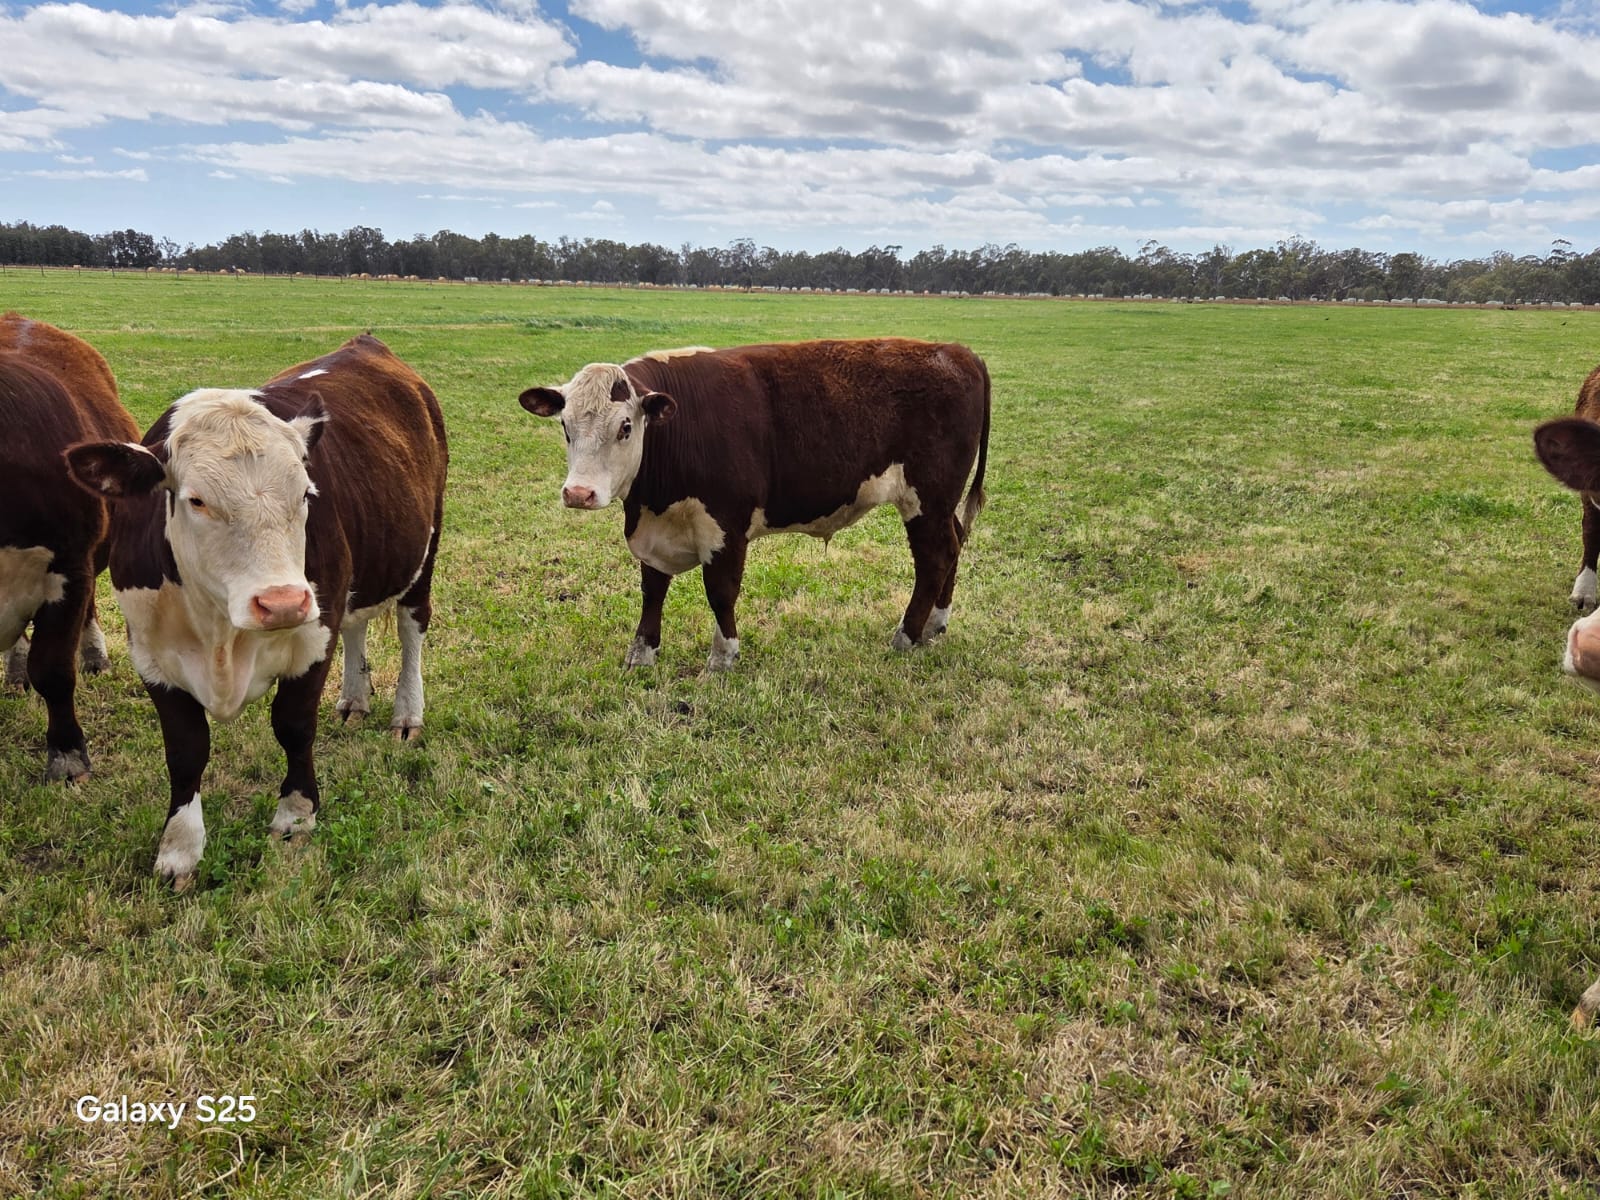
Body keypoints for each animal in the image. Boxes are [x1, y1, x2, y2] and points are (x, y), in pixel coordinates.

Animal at [64, 334, 448, 889]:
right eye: (195, 500)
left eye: (306, 493)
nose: (282, 601)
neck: (218, 634)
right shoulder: (152, 656)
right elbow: (185, 751)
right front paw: (179, 849)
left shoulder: (314, 632)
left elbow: (294, 725)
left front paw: (295, 816)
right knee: (357, 627)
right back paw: (354, 699)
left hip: (424, 548)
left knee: (411, 627)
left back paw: (406, 713)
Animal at [518, 338, 989, 670]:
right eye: (565, 426)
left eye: (626, 427)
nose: (578, 494)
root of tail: (956, 351)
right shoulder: (654, 529)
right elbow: (652, 590)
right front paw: (642, 653)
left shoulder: (726, 526)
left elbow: (720, 592)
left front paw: (722, 657)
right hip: (941, 504)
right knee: (954, 544)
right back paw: (935, 625)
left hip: (927, 498)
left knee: (934, 557)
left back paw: (906, 635)